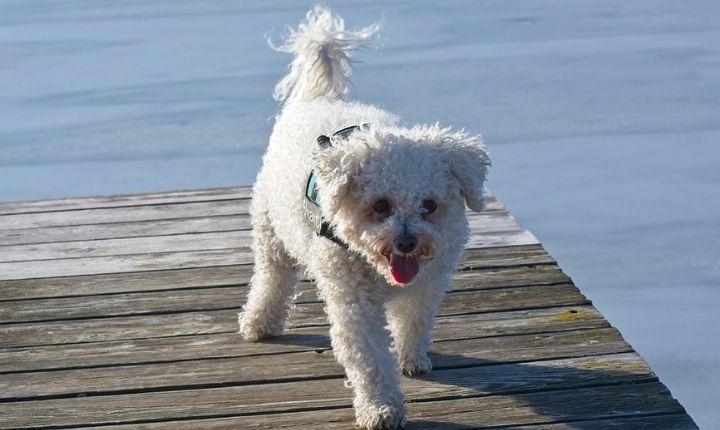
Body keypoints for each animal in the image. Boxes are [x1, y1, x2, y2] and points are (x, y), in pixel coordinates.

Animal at [239, 7, 492, 430]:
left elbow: (414, 322)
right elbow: (370, 359)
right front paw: (381, 408)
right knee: (272, 278)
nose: (406, 242)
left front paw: (412, 359)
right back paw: (259, 322)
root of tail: (319, 98)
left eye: (429, 204)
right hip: (271, 231)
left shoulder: (427, 284)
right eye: (380, 205)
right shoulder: (354, 304)